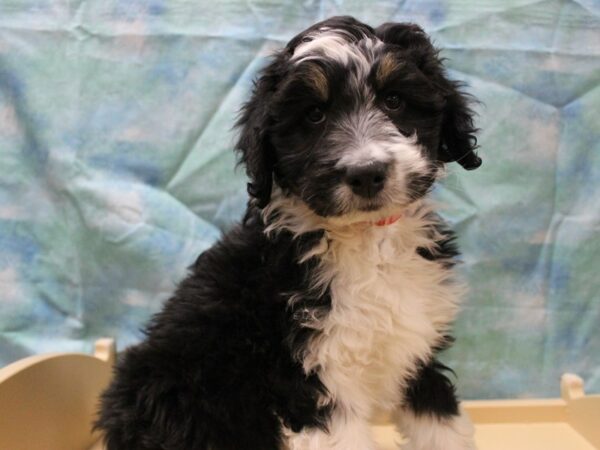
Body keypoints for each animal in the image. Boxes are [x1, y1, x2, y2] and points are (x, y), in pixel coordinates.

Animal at [97, 15, 482, 450]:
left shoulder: (417, 348)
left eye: (394, 101)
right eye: (313, 115)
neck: (365, 239)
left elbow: (440, 422)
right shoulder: (309, 376)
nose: (366, 173)